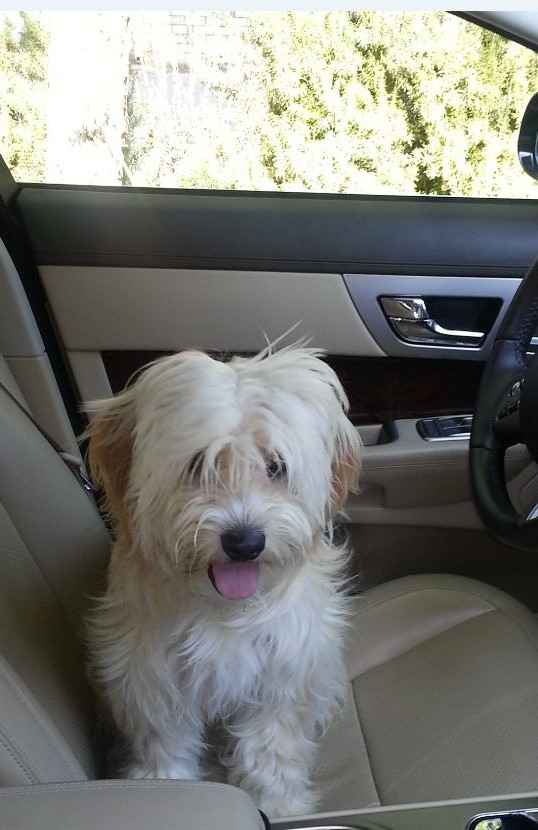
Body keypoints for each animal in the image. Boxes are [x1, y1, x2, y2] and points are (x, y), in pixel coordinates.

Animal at [86, 345, 361, 817]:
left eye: (275, 465)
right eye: (199, 463)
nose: (244, 542)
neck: (222, 608)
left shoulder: (283, 671)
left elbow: (270, 748)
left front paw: (279, 805)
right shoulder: (150, 674)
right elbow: (164, 741)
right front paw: (163, 793)